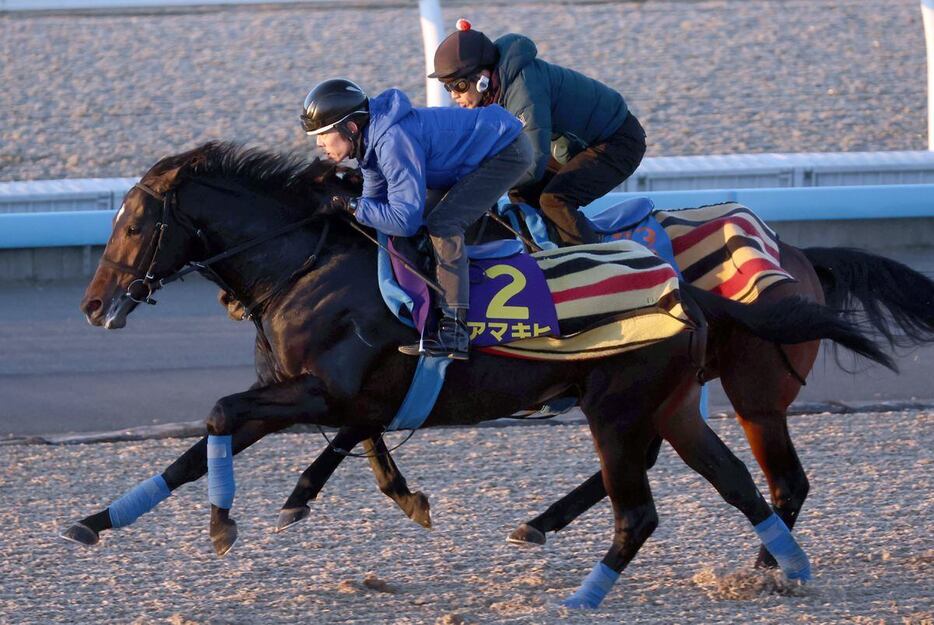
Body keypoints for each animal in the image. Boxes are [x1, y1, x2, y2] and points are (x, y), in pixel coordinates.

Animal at [64, 144, 892, 608]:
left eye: (133, 223)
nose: (94, 304)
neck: (308, 264)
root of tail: (689, 290)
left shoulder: (323, 391)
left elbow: (221, 413)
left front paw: (227, 519)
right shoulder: (308, 394)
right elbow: (202, 440)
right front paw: (97, 520)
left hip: (647, 405)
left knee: (656, 507)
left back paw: (586, 593)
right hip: (674, 404)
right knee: (742, 485)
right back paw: (779, 569)